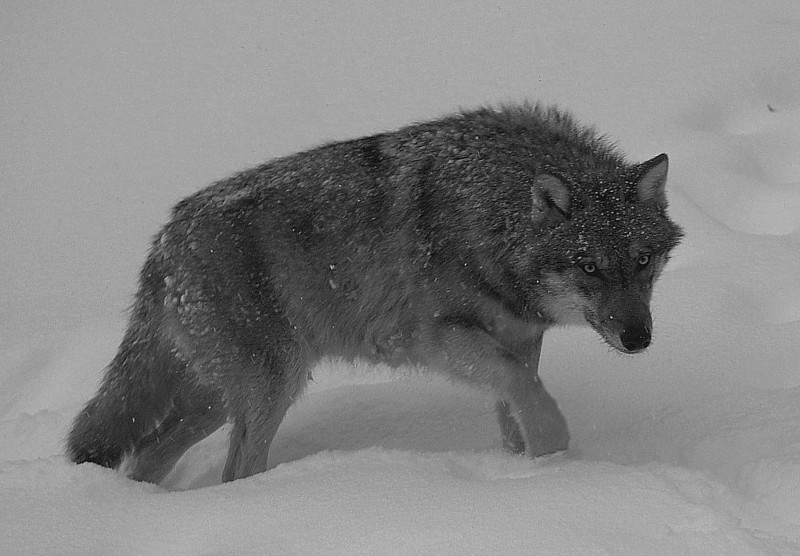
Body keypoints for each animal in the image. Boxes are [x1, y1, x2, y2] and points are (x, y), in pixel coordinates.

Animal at [67, 103, 680, 482]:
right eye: (590, 267)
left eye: (642, 261)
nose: (639, 339)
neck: (489, 215)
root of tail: (164, 240)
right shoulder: (440, 339)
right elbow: (528, 394)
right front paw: (557, 460)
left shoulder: (521, 341)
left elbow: (518, 406)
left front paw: (527, 473)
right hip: (271, 386)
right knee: (233, 470)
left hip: (219, 400)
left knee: (147, 456)